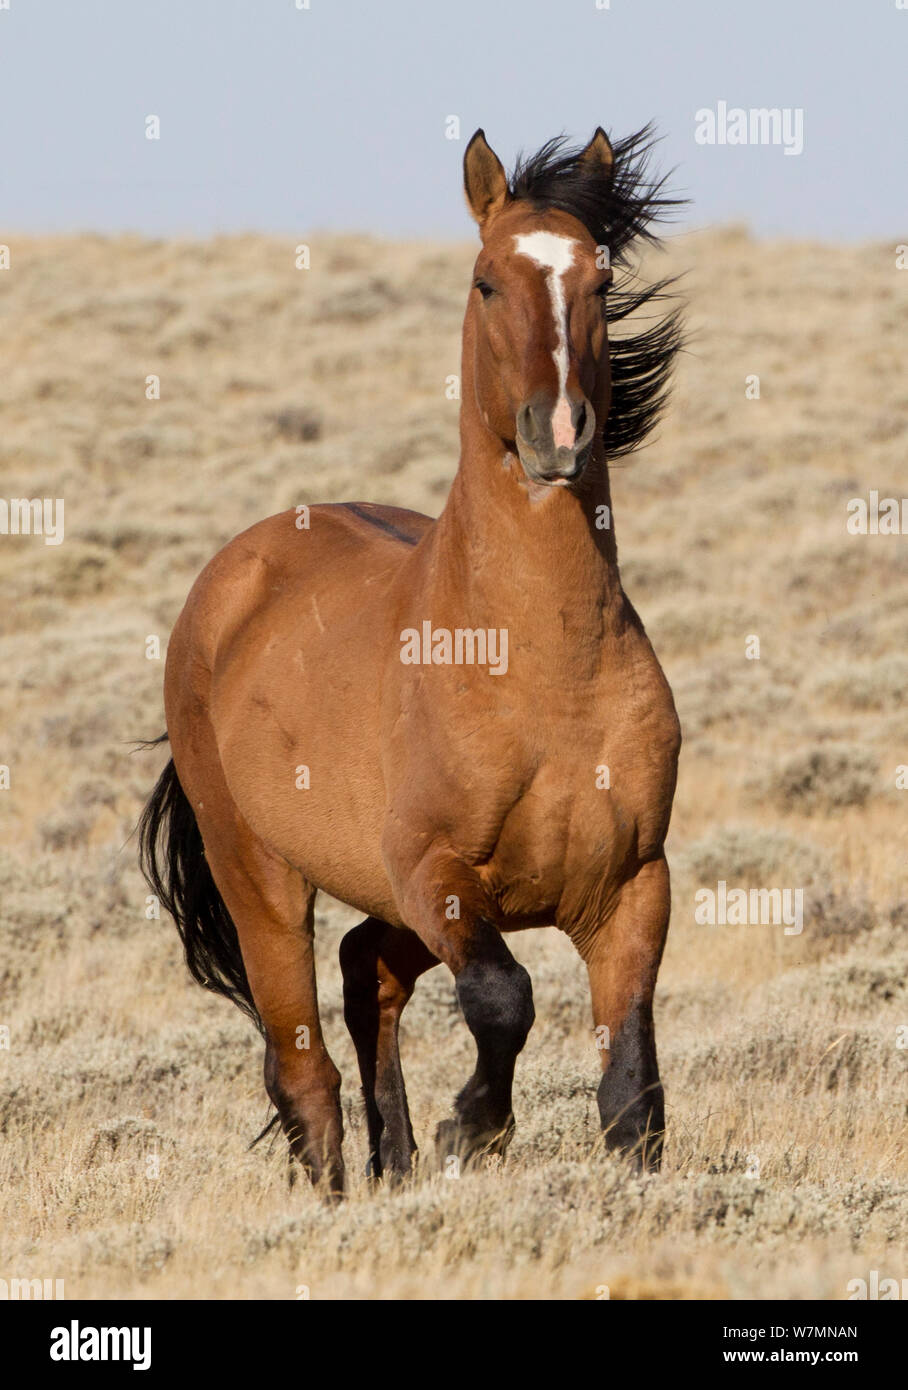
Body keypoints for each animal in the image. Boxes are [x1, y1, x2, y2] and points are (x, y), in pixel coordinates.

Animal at [140, 124, 684, 1196]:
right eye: (485, 281)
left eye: (601, 280)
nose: (559, 435)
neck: (543, 673)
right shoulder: (439, 874)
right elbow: (506, 997)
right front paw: (470, 1128)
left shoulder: (635, 887)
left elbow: (631, 1091)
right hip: (261, 875)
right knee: (301, 1064)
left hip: (381, 898)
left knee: (365, 972)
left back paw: (388, 1163)